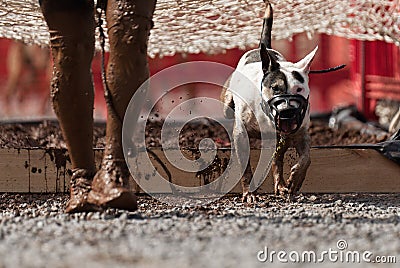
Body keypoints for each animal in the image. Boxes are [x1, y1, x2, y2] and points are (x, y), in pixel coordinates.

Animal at [220, 2, 318, 203]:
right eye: (275, 88)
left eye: (299, 89)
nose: (288, 112)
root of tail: (263, 49)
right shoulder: (242, 134)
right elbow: (246, 167)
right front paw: (249, 193)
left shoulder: (299, 133)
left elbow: (305, 159)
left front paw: (294, 180)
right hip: (227, 102)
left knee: (277, 157)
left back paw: (280, 185)